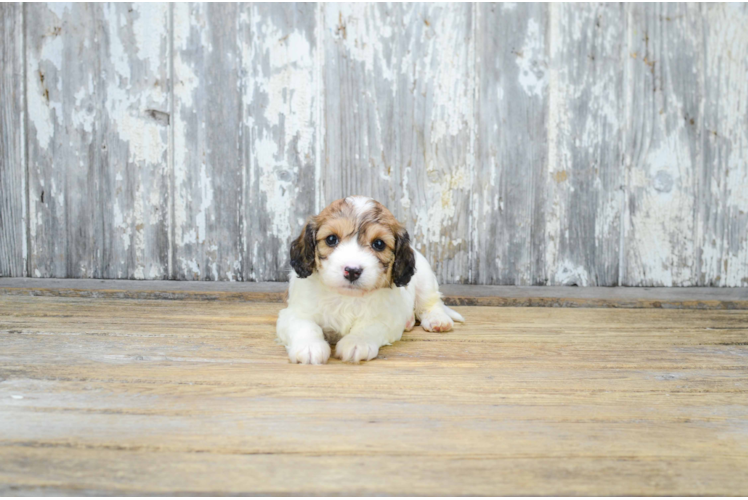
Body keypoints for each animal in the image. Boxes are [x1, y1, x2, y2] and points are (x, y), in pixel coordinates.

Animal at [274, 195, 462, 364]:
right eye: (331, 239)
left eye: (378, 244)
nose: (352, 271)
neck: (346, 297)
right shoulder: (294, 312)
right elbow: (305, 325)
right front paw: (309, 346)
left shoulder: (385, 318)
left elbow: (368, 327)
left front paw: (357, 342)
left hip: (425, 278)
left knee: (430, 302)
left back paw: (438, 319)